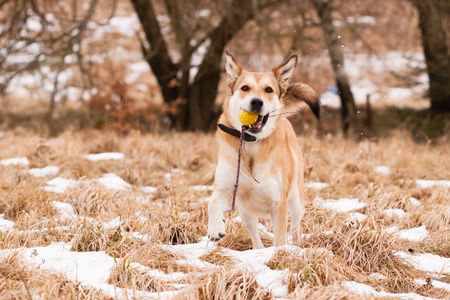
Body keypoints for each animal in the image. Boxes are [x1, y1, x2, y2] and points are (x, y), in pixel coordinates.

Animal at [207, 52, 320, 248]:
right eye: (245, 88)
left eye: (268, 90)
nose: (256, 102)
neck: (252, 142)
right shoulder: (226, 189)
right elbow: (212, 202)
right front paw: (215, 228)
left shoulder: (278, 202)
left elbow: (280, 239)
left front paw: (280, 253)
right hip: (246, 212)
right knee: (255, 235)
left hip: (296, 200)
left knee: (295, 226)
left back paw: (297, 246)